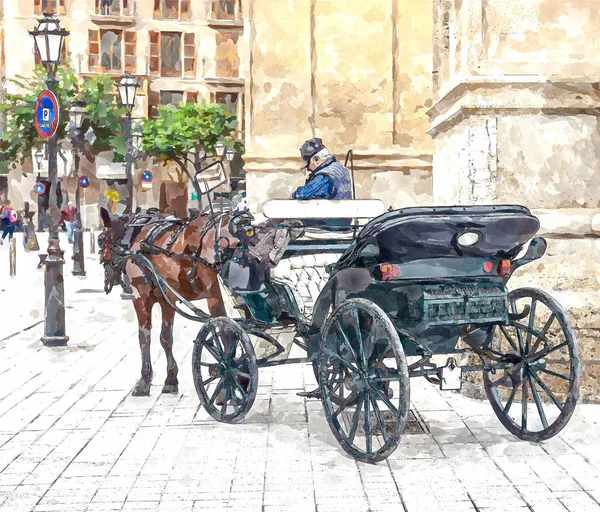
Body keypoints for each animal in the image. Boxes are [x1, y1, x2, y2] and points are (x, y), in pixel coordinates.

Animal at [98, 207, 234, 396]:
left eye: (100, 240)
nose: (107, 276)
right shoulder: (166, 299)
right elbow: (166, 338)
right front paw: (171, 379)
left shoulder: (141, 298)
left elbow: (144, 337)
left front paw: (144, 380)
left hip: (213, 292)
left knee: (225, 329)